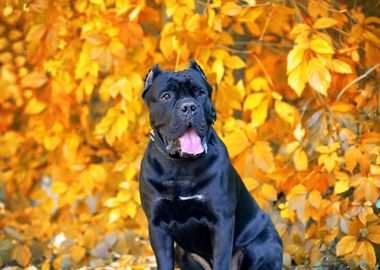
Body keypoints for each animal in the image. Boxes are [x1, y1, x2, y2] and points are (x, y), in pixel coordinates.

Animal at [140, 61, 282, 270]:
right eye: (166, 96)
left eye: (200, 93)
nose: (189, 107)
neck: (180, 166)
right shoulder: (157, 225)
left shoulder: (221, 220)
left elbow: (222, 260)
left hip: (264, 246)